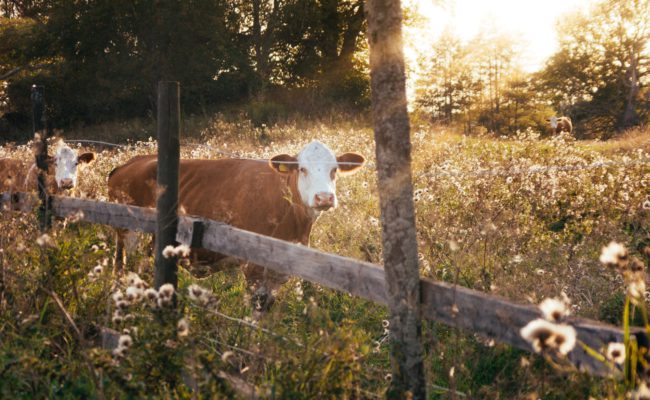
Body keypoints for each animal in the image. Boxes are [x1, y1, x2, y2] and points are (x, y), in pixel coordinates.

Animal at [108, 140, 366, 312]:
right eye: (302, 169)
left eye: (335, 169)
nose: (324, 198)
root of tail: (131, 162)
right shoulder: (253, 266)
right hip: (129, 234)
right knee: (124, 266)